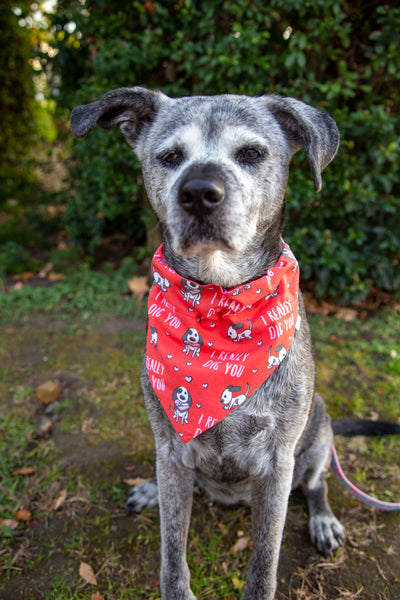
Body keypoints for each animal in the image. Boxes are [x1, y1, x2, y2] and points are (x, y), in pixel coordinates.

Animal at [70, 89, 346, 600]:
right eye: (170, 157)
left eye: (252, 153)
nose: (199, 191)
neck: (219, 304)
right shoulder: (172, 448)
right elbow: (171, 555)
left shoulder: (276, 465)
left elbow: (264, 562)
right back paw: (150, 488)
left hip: (320, 429)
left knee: (316, 484)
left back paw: (323, 521)